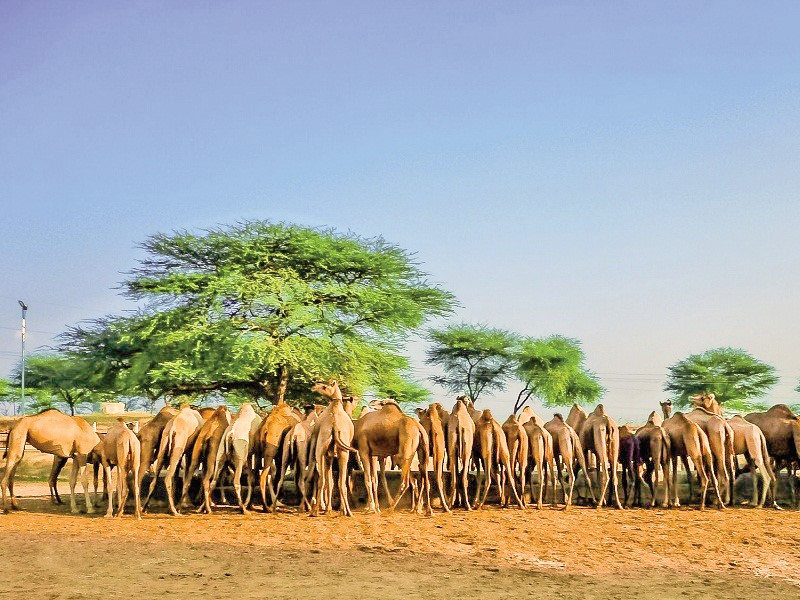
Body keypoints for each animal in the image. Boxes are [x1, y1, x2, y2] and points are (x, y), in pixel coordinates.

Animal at [306, 382, 356, 516]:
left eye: (324, 386)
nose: (313, 387)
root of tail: (334, 427)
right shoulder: (331, 454)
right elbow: (332, 482)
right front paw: (330, 509)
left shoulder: (326, 453)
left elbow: (329, 482)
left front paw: (327, 508)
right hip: (343, 452)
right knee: (341, 482)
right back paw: (348, 512)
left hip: (321, 450)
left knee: (322, 480)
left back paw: (314, 511)